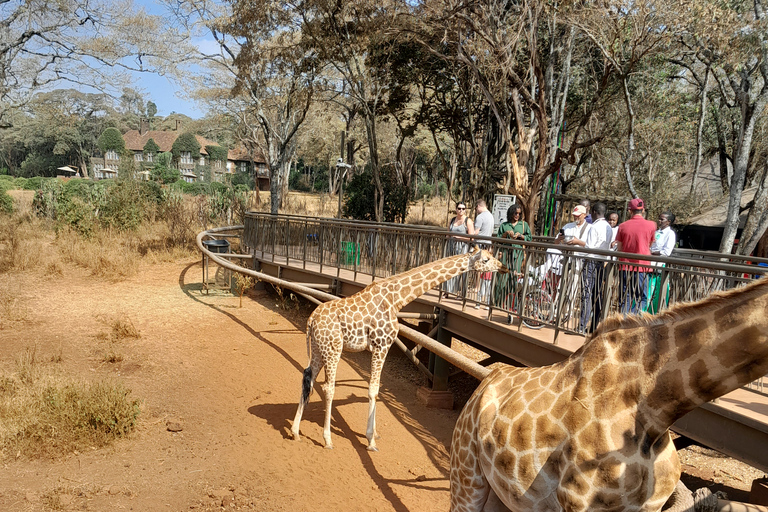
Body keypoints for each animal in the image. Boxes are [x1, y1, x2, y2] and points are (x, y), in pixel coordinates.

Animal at [292, 246, 508, 450]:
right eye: (486, 259)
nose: (503, 267)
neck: (397, 299)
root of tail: (311, 320)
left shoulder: (381, 347)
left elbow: (377, 388)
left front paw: (374, 433)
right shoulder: (381, 344)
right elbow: (373, 390)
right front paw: (371, 440)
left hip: (319, 348)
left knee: (307, 376)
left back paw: (295, 431)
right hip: (333, 349)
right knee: (328, 387)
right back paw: (327, 439)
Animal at [450, 274, 768, 510]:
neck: (657, 409)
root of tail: (485, 383)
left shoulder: (648, 507)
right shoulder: (577, 503)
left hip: (506, 495)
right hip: (467, 475)